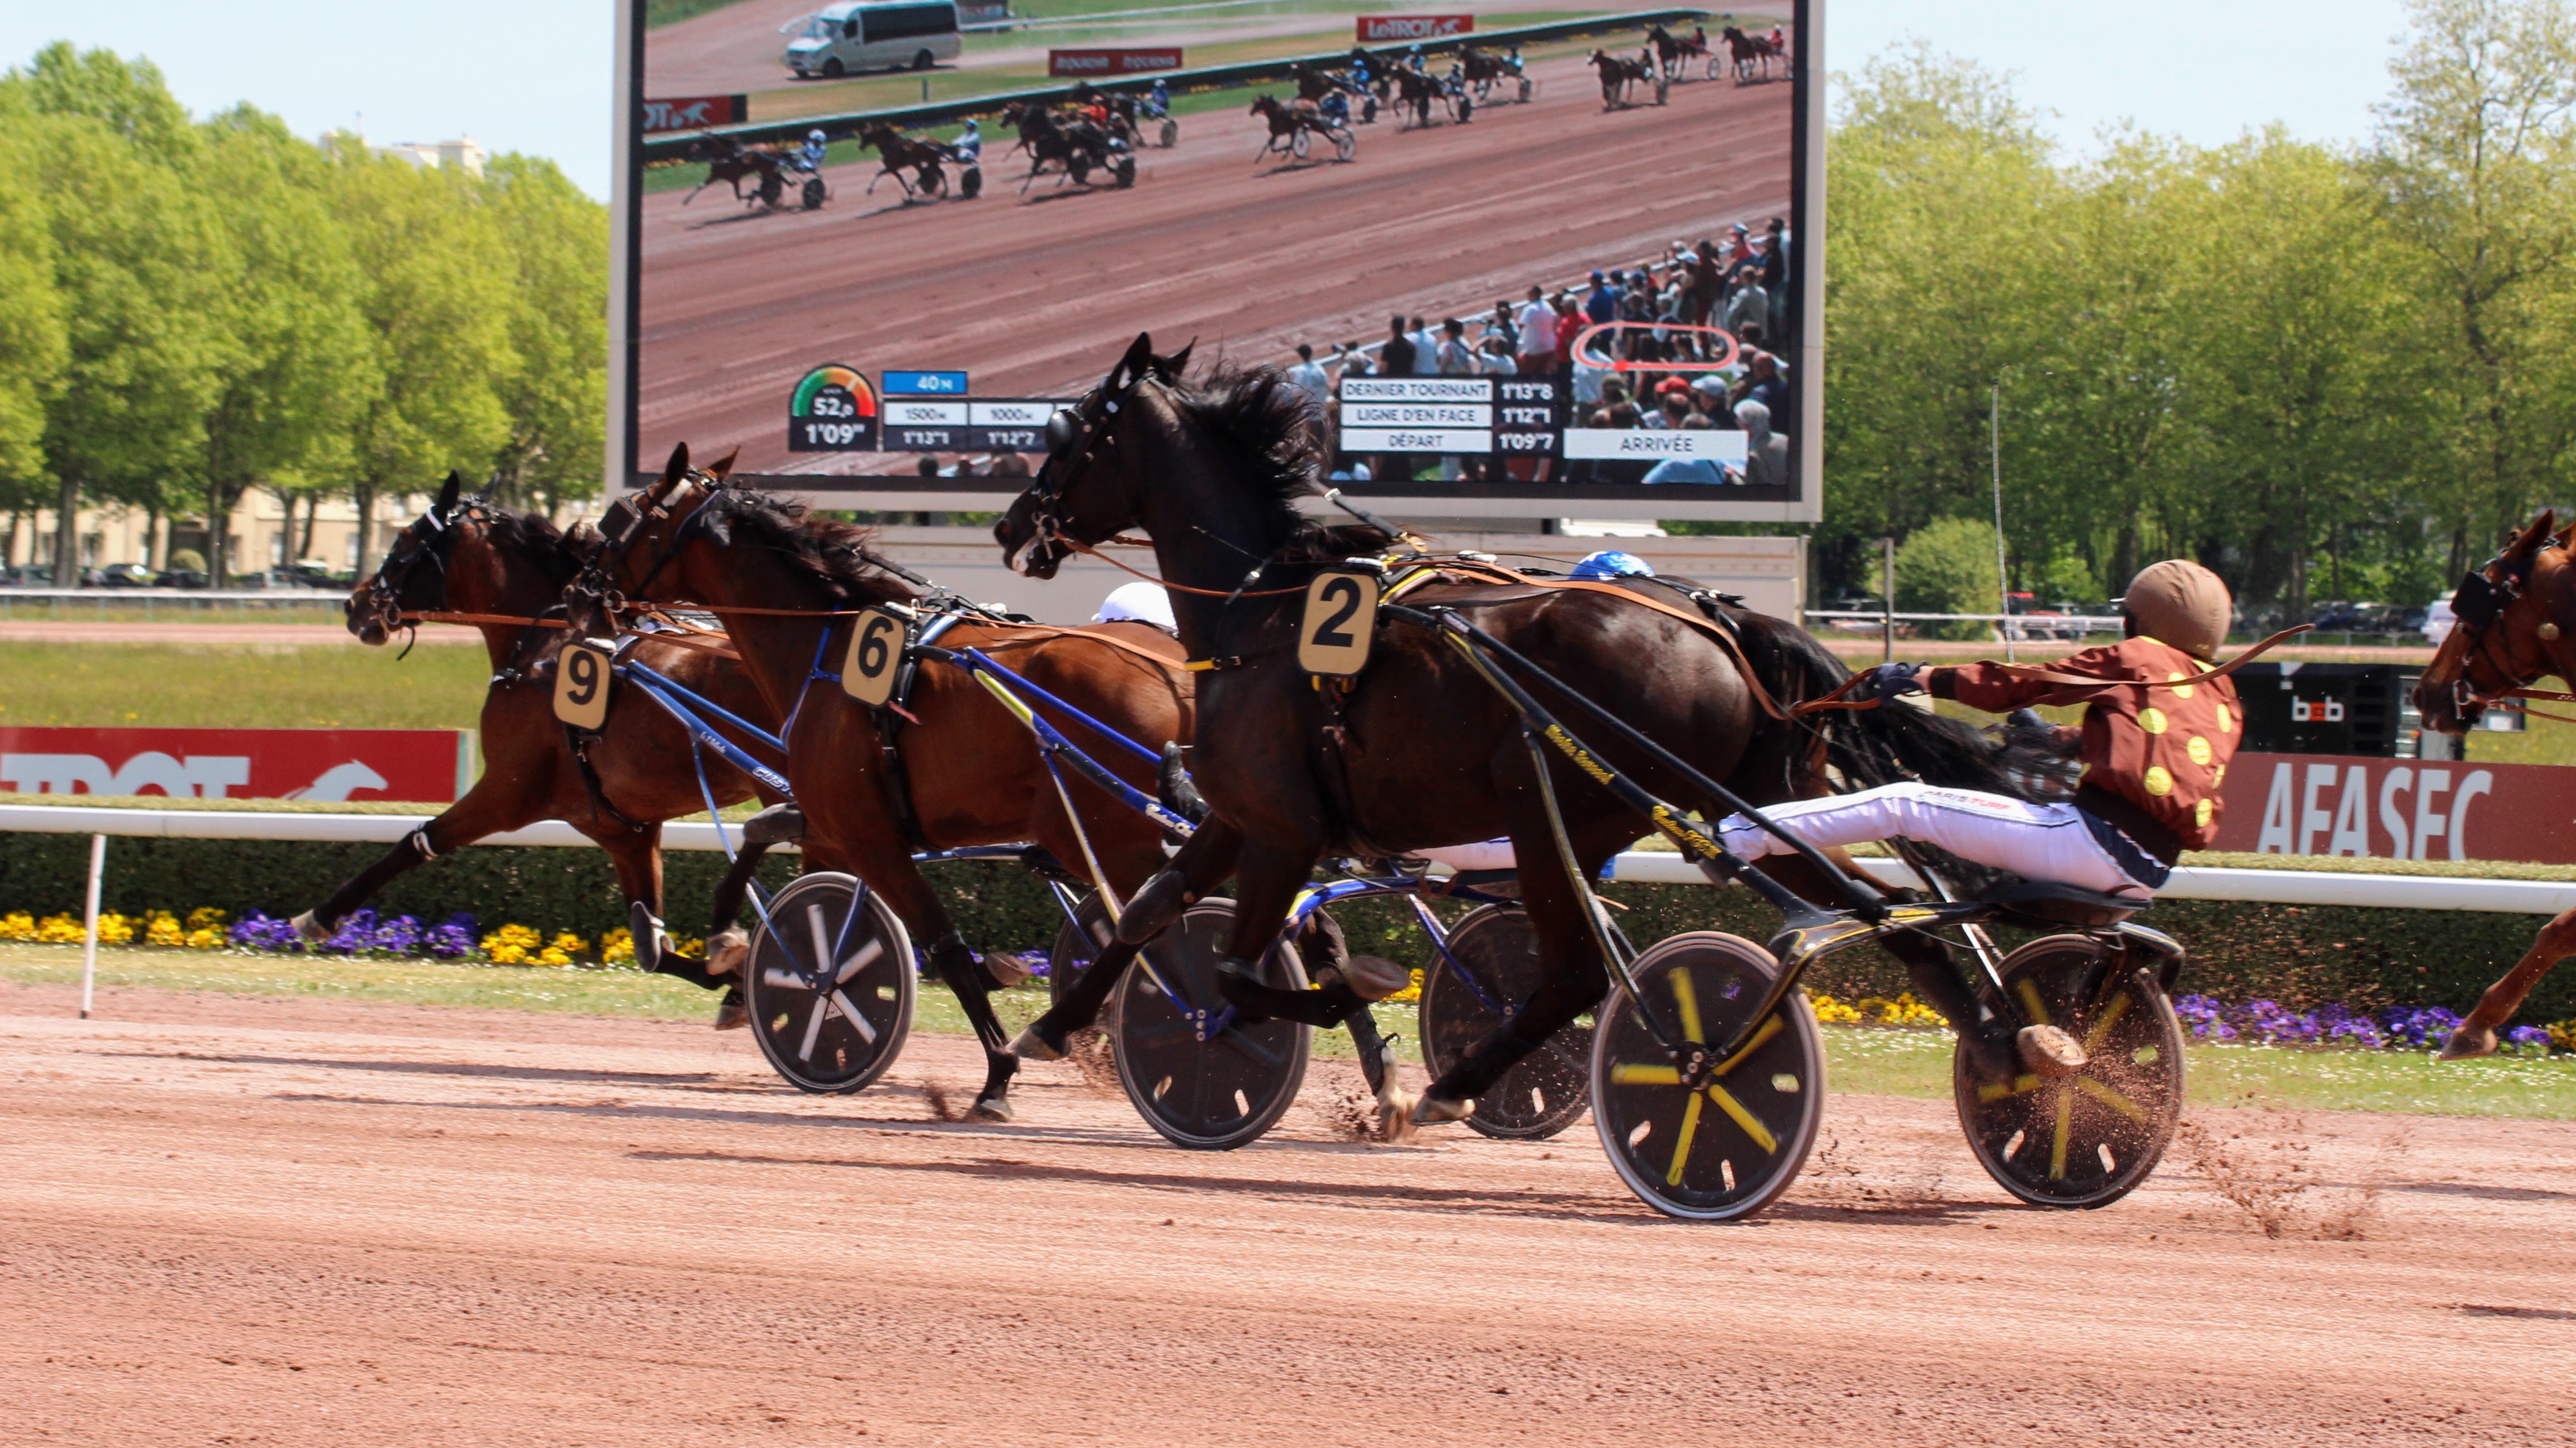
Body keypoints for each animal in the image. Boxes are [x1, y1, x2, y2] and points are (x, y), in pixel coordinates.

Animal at [306, 469, 783, 1020]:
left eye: (404, 541)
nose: (355, 603)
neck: (543, 650)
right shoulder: (624, 830)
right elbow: (653, 948)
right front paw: (738, 982)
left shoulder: (508, 793)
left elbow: (415, 842)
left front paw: (320, 915)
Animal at [587, 443, 1195, 1118]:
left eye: (629, 516)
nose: (584, 581)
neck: (827, 648)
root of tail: (1177, 671)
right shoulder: (836, 819)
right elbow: (763, 836)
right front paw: (737, 946)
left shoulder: (871, 834)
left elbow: (943, 945)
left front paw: (996, 1073)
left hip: (1103, 834)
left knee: (1151, 919)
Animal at [994, 337, 2040, 1128]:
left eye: (1066, 435)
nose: (1009, 526)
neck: (1265, 607)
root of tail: (1721, 625)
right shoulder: (1240, 811)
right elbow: (1148, 909)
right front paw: (1045, 1029)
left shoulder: (1284, 828)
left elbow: (1240, 972)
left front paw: (1358, 1003)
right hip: (1743, 809)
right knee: (1890, 912)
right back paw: (2009, 1051)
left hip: (1557, 814)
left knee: (1576, 972)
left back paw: (1463, 1087)